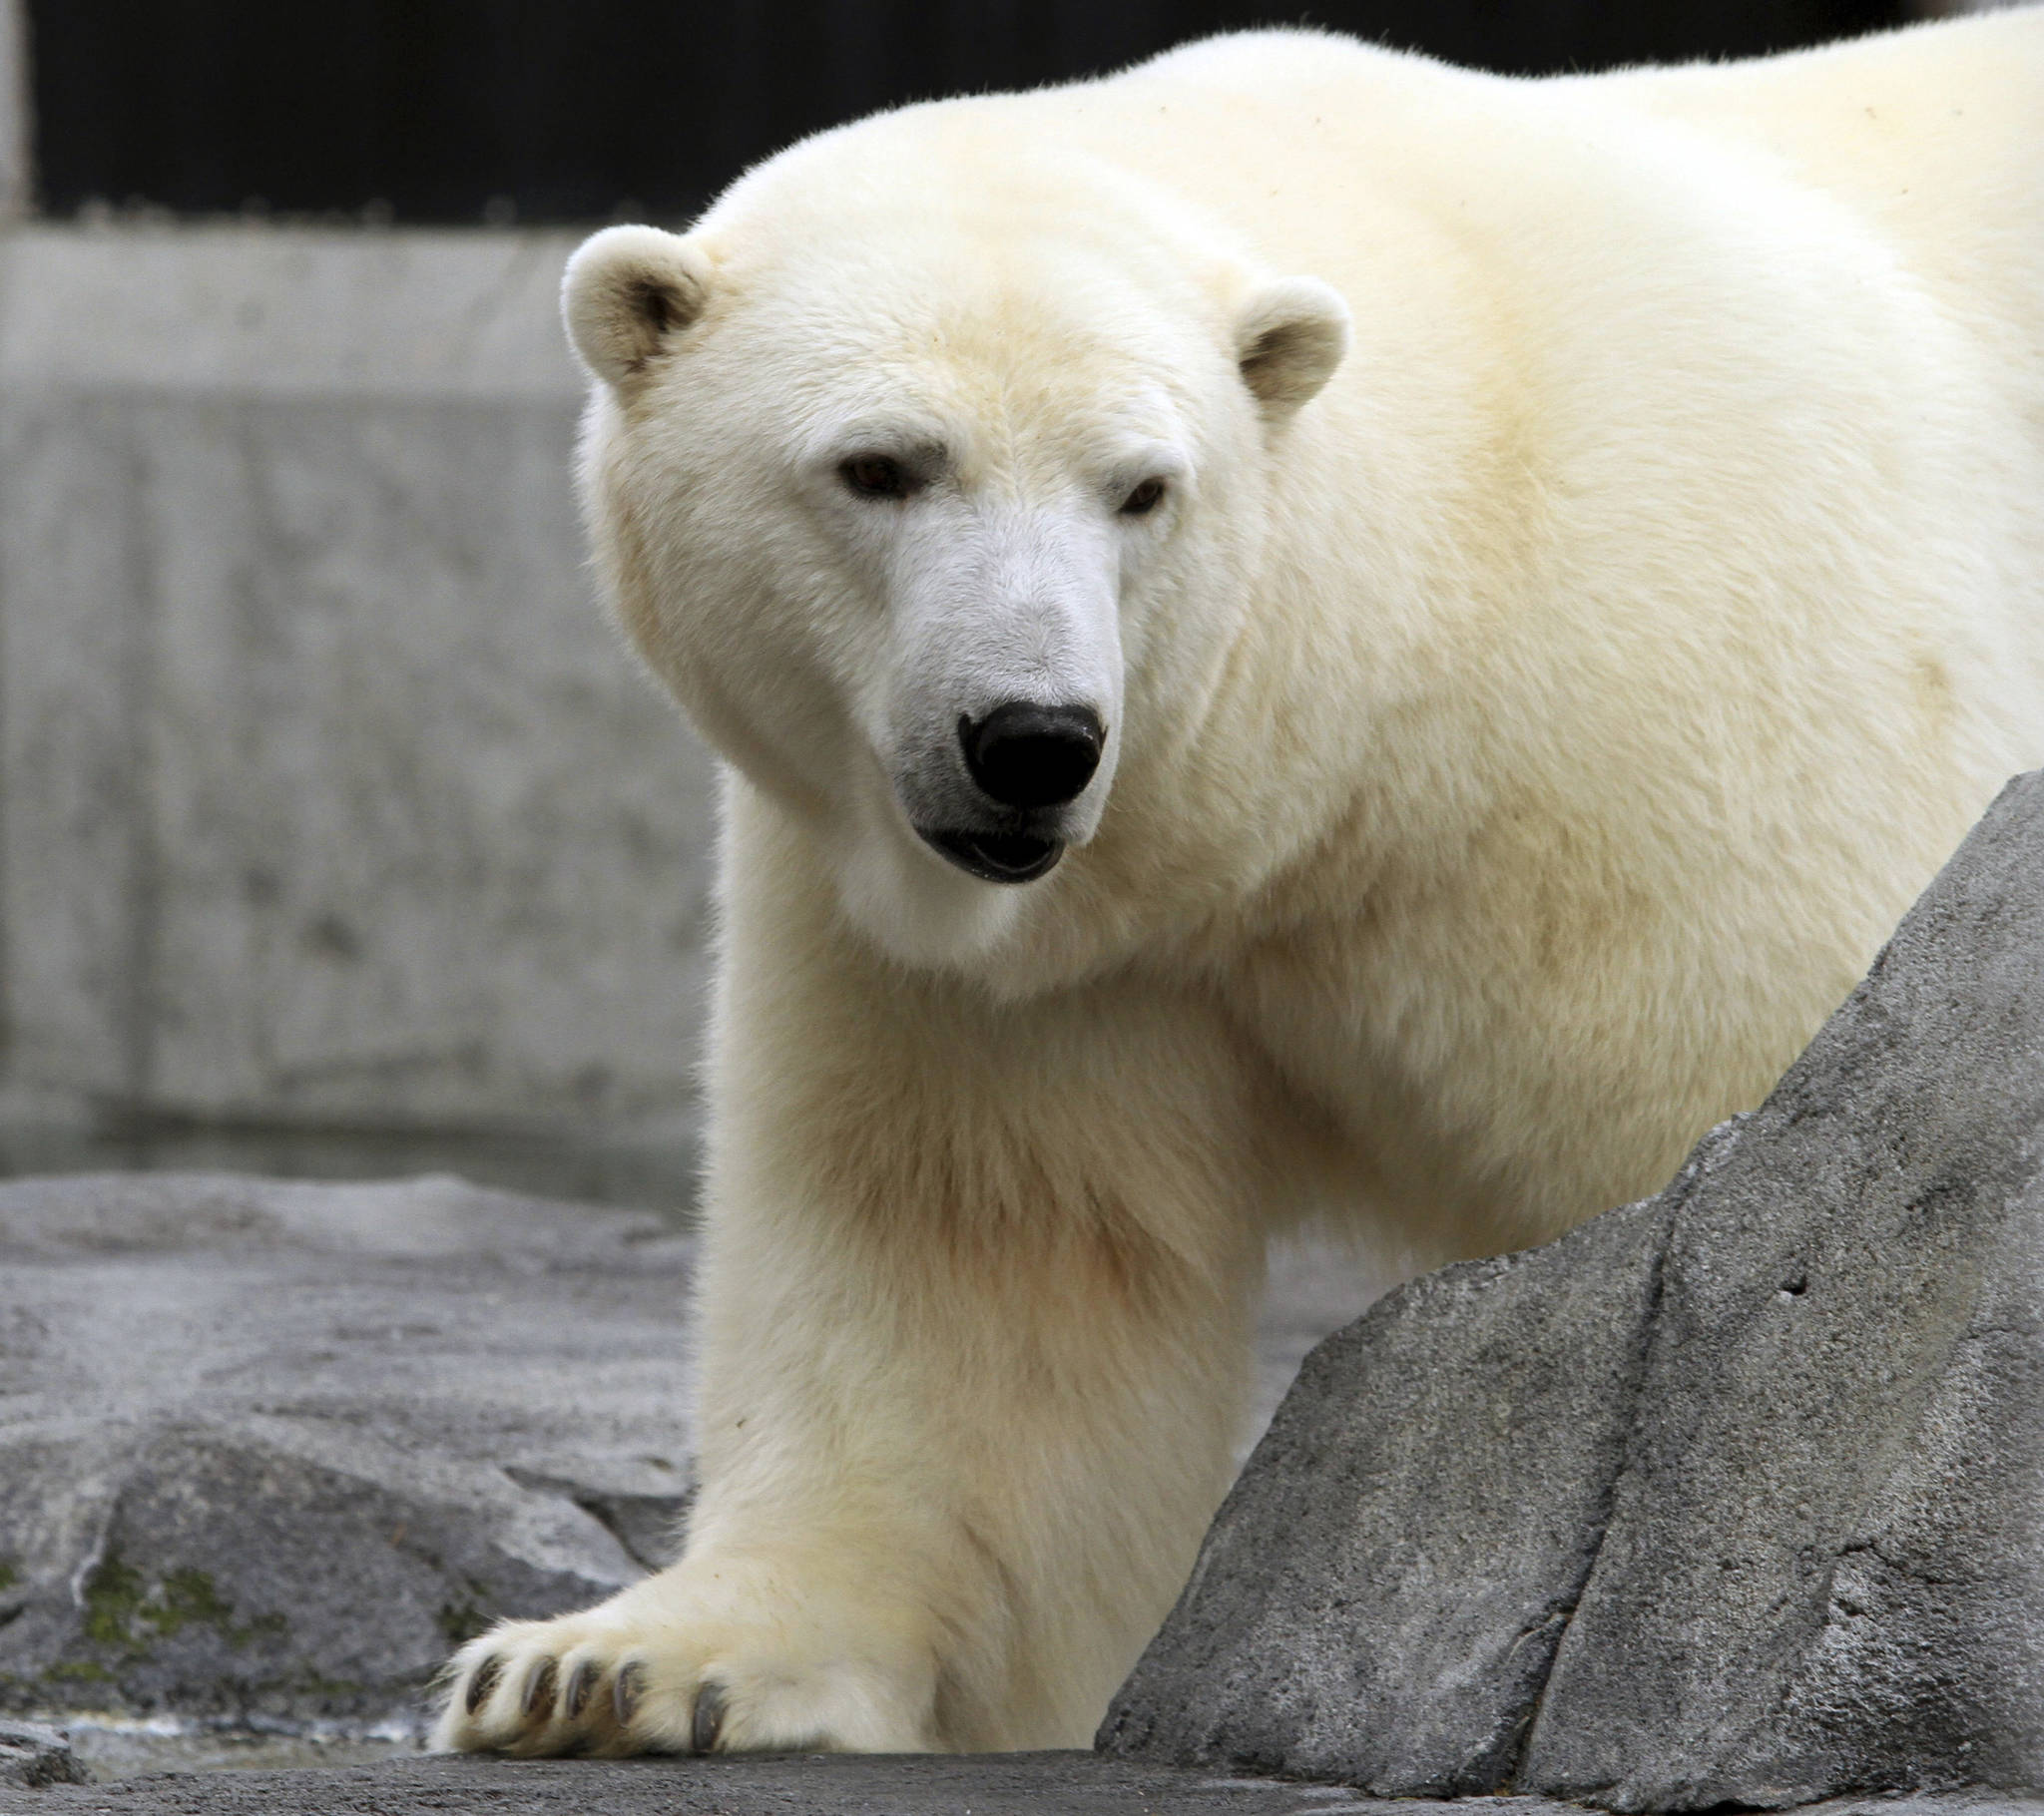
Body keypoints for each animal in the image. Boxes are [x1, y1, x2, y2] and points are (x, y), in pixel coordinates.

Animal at [439, 10, 2044, 1756]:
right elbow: (975, 1273)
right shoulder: (1041, 953)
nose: (1031, 742)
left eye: (1141, 487)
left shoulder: (1699, 768)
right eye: (879, 467)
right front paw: (604, 1666)